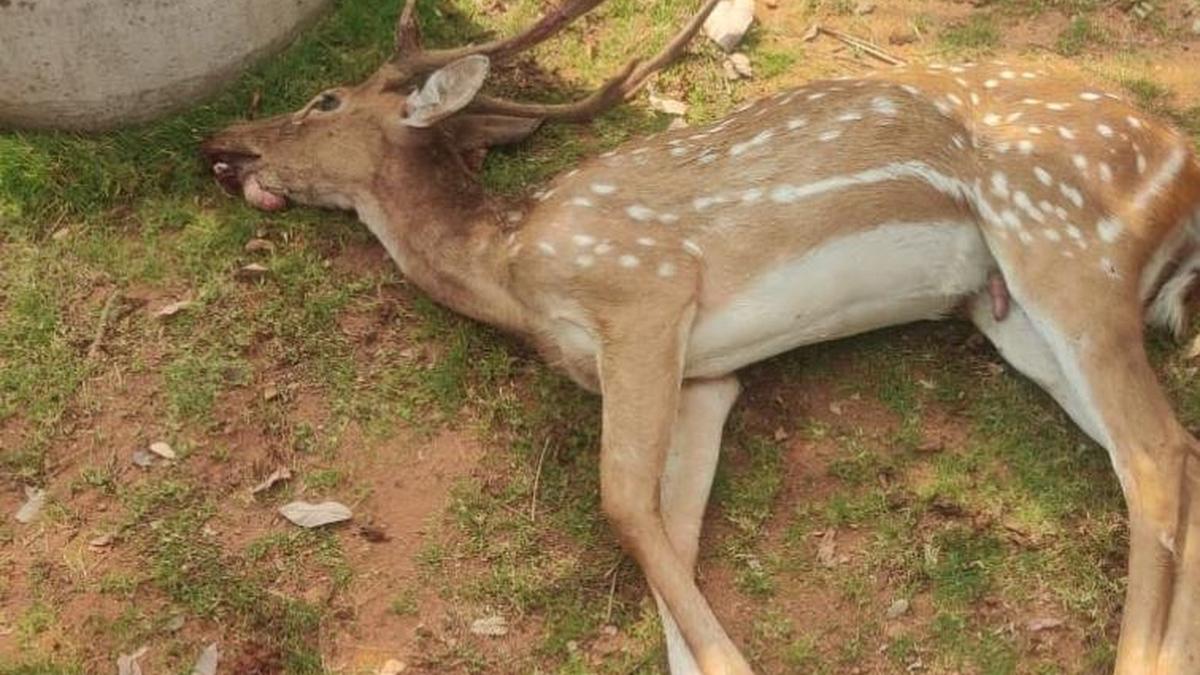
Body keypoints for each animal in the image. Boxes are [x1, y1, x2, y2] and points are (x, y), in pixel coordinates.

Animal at [201, 1, 1200, 672]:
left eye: (324, 99)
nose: (220, 140)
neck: (510, 269)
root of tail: (1181, 171)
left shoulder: (644, 292)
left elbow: (621, 506)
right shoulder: (702, 378)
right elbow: (670, 533)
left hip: (1061, 237)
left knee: (1153, 449)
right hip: (1009, 316)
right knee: (1176, 449)